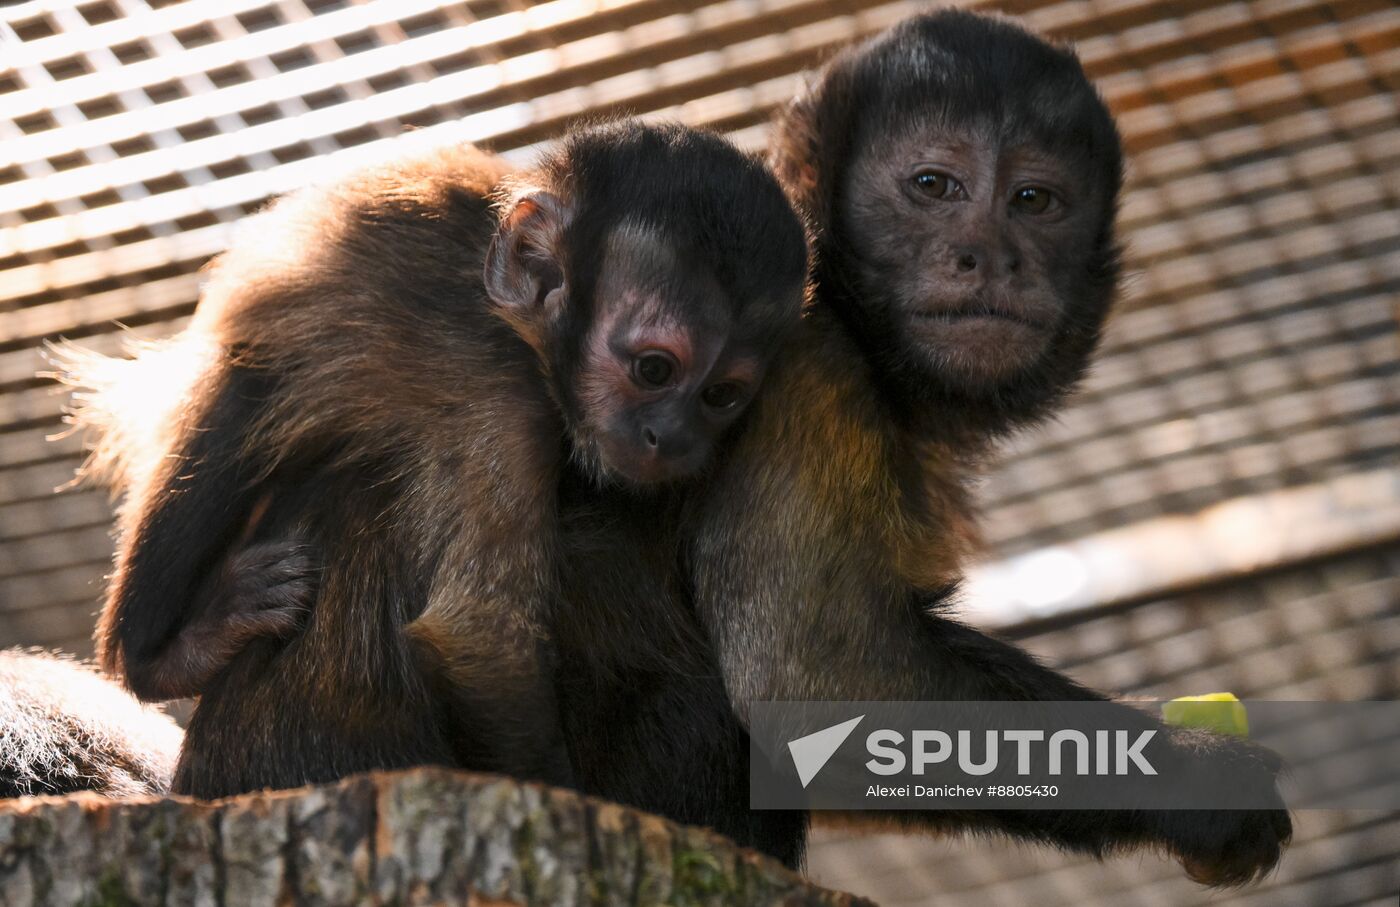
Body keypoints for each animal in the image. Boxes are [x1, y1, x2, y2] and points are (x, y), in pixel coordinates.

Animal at [54, 122, 806, 800]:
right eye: (654, 369)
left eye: (720, 396)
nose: (672, 437)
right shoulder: (507, 396)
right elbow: (479, 640)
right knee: (243, 400)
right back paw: (159, 658)